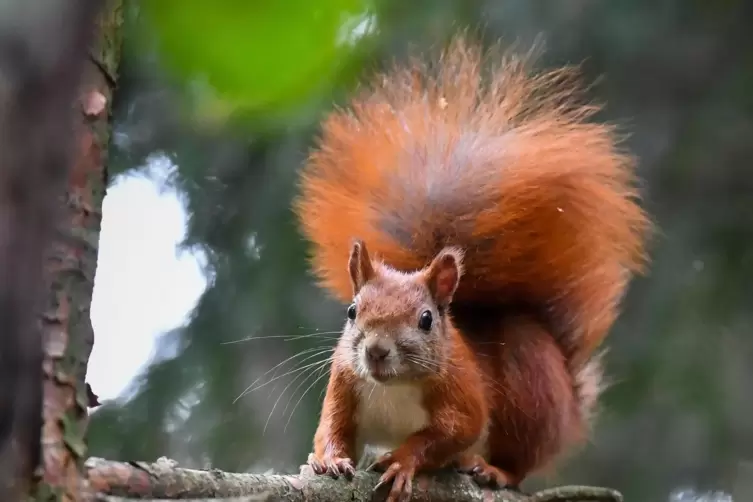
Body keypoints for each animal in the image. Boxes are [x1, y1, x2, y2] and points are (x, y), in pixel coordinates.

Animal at [290, 36, 648, 502]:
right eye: (352, 312)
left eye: (426, 319)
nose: (376, 351)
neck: (394, 386)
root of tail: (571, 403)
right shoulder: (344, 384)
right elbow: (331, 429)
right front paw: (328, 460)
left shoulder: (463, 393)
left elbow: (449, 434)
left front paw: (405, 460)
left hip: (531, 395)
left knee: (519, 459)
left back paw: (493, 470)